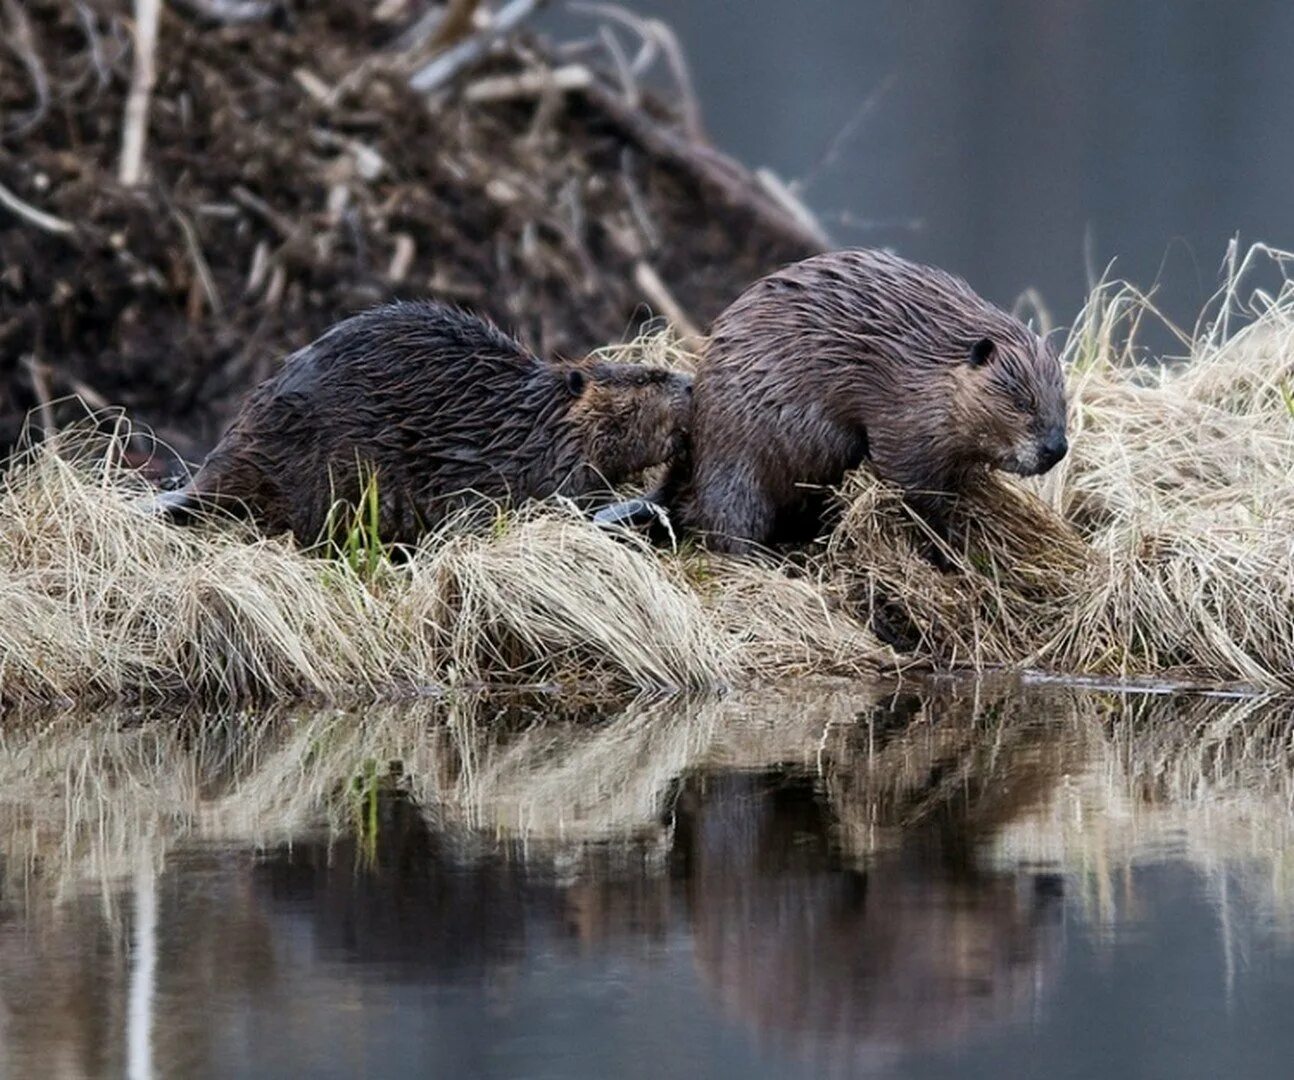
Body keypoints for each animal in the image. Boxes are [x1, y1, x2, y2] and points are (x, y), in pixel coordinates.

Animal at [652, 249, 1066, 553]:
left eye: (1061, 399)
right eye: (1022, 402)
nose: (1056, 448)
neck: (932, 359)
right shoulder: (905, 411)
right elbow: (907, 476)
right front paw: (949, 543)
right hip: (738, 455)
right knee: (729, 524)